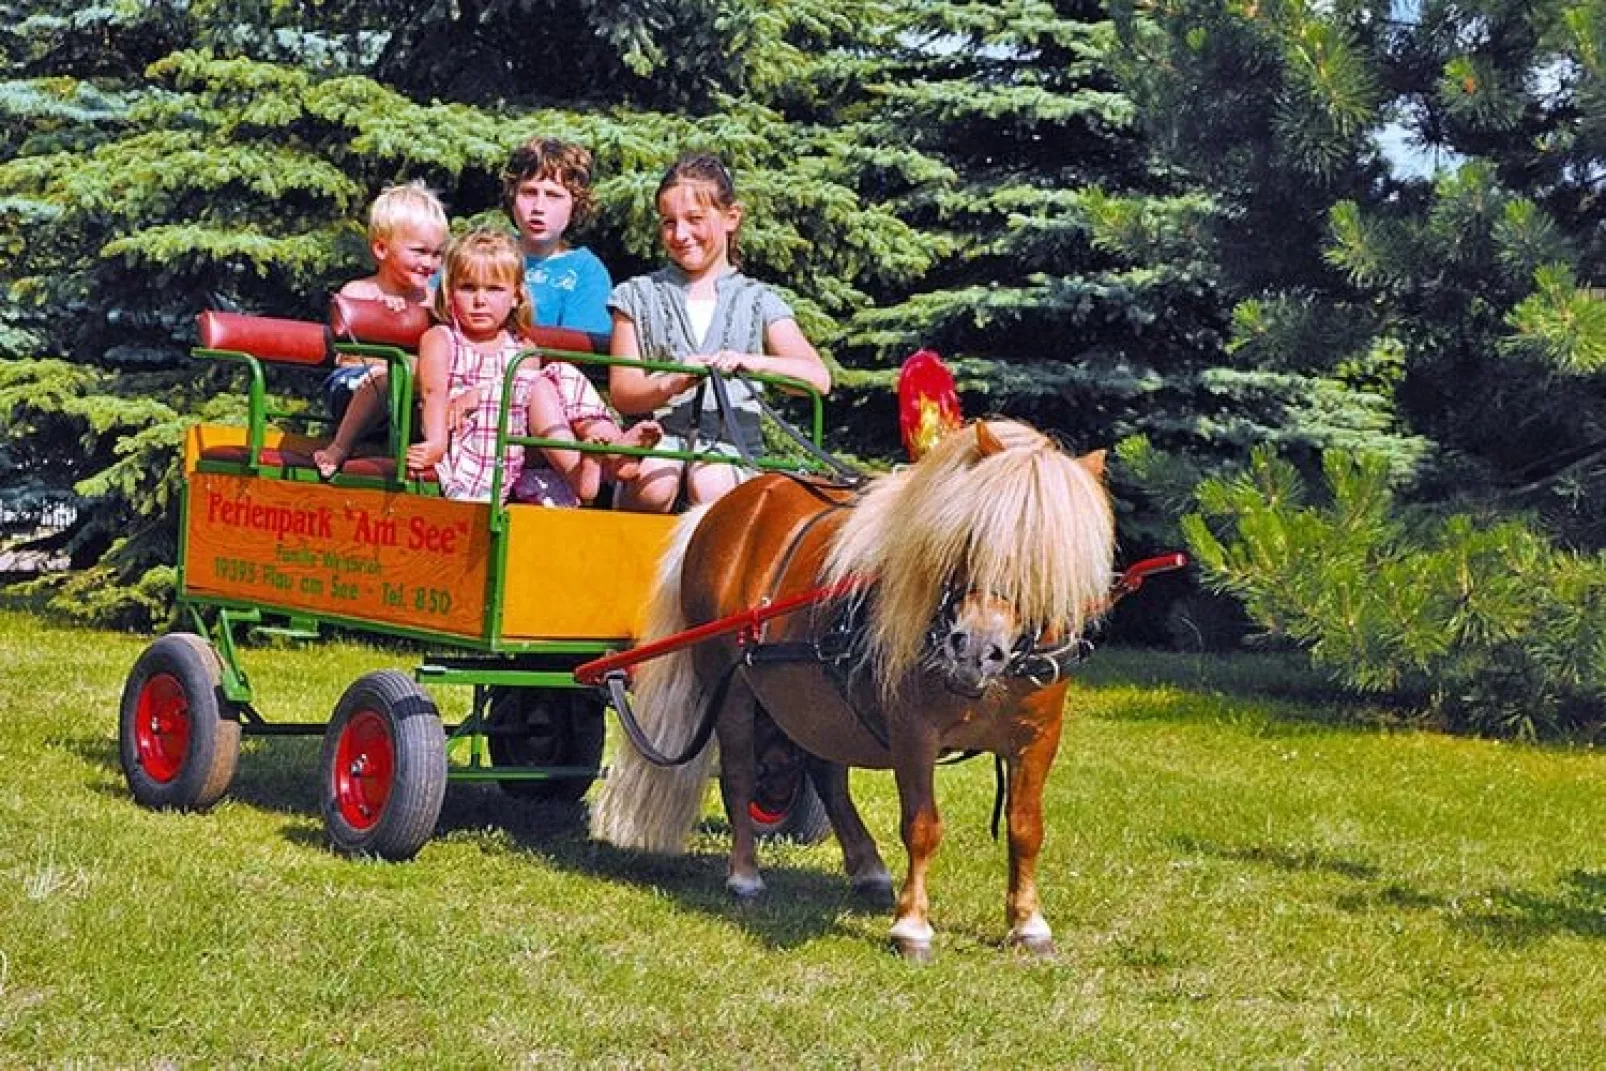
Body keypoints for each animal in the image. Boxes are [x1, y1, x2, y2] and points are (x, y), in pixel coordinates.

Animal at [594, 417, 1117, 963]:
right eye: (970, 536)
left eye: (1049, 559)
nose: (973, 649)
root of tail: (720, 508)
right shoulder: (914, 732)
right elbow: (922, 826)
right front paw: (912, 927)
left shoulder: (1038, 738)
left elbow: (1025, 828)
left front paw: (1028, 924)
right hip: (729, 683)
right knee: (739, 775)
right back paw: (745, 875)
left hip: (817, 701)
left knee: (826, 774)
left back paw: (868, 868)